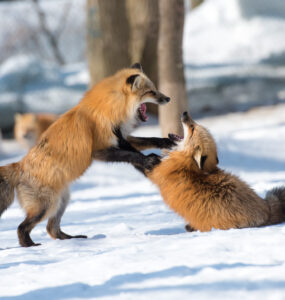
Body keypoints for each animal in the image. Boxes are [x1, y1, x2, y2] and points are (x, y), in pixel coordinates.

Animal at [0, 62, 173, 246]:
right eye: (151, 92)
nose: (168, 99)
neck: (108, 110)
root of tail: (18, 165)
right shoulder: (99, 150)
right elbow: (131, 155)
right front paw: (148, 160)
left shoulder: (120, 137)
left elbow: (148, 140)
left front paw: (166, 142)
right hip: (46, 206)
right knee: (22, 228)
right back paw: (30, 246)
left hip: (62, 201)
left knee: (52, 229)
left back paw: (72, 239)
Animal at [115, 111, 284, 231]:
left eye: (192, 127)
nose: (185, 113)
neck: (184, 162)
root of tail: (267, 210)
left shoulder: (154, 172)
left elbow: (137, 158)